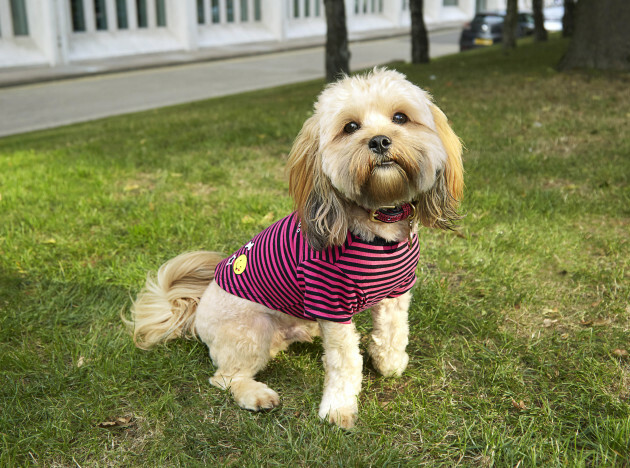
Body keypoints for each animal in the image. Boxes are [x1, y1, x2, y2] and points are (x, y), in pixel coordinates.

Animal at [125, 68, 463, 429]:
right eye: (350, 127)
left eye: (400, 118)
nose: (380, 141)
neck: (376, 221)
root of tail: (194, 308)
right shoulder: (331, 302)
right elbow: (344, 360)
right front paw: (339, 407)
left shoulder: (396, 293)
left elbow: (392, 332)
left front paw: (389, 363)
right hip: (251, 331)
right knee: (225, 377)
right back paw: (256, 395)